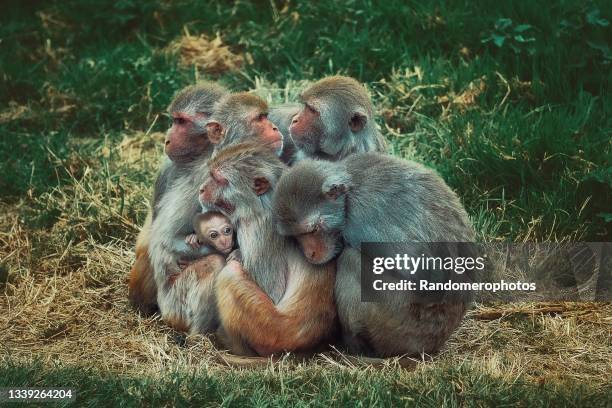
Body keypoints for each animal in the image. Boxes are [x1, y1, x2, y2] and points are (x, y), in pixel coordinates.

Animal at [198, 143, 338, 354]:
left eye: (217, 179)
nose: (201, 189)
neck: (262, 202)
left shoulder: (257, 230)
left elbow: (272, 291)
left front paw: (237, 255)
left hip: (269, 331)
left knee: (230, 274)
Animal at [272, 152, 478, 356]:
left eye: (313, 230)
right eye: (297, 236)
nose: (310, 253)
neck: (348, 197)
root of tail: (431, 344)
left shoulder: (361, 217)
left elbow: (426, 275)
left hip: (399, 326)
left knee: (351, 260)